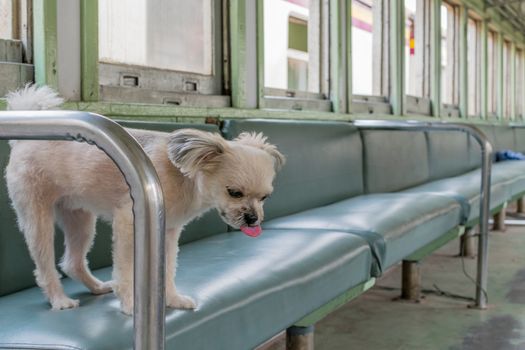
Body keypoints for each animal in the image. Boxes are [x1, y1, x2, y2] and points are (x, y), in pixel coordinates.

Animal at [4, 85, 284, 314]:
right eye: (234, 192)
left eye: (265, 197)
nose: (253, 219)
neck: (184, 177)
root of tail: (22, 141)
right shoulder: (129, 224)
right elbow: (127, 270)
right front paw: (130, 304)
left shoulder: (167, 232)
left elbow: (168, 269)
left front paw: (171, 299)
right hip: (37, 218)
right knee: (44, 266)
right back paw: (59, 300)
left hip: (80, 220)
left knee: (72, 262)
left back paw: (96, 287)